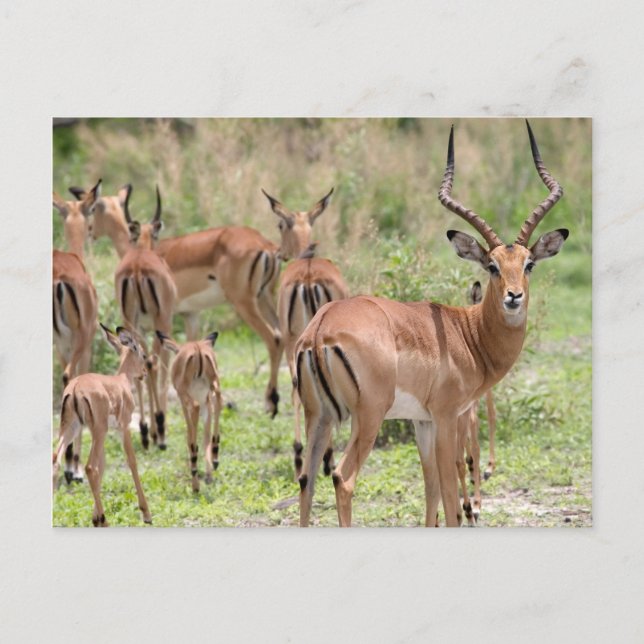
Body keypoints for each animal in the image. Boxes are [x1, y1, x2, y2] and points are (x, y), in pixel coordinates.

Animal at [52, 324, 152, 527]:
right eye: (144, 355)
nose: (145, 372)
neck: (121, 381)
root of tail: (75, 388)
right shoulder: (123, 427)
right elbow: (131, 461)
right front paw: (146, 514)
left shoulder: (102, 433)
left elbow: (103, 465)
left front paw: (95, 517)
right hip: (98, 430)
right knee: (90, 467)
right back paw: (106, 521)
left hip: (72, 429)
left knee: (56, 459)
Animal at [157, 331, 222, 492]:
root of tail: (198, 349)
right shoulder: (206, 400)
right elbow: (206, 434)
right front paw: (209, 476)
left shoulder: (182, 399)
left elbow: (189, 430)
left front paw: (196, 483)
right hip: (214, 385)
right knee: (219, 400)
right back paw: (215, 456)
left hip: (186, 395)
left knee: (195, 408)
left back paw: (194, 468)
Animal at [262, 188, 348, 477]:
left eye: (279, 225)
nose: (279, 252)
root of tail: (309, 277)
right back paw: (319, 457)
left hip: (295, 343)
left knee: (296, 386)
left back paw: (301, 454)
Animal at [296, 121, 568, 527]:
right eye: (492, 266)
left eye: (529, 263)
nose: (514, 297)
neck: (468, 334)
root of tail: (319, 329)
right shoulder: (446, 416)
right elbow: (452, 499)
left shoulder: (421, 422)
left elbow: (431, 492)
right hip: (367, 416)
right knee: (342, 478)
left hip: (320, 416)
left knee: (306, 480)